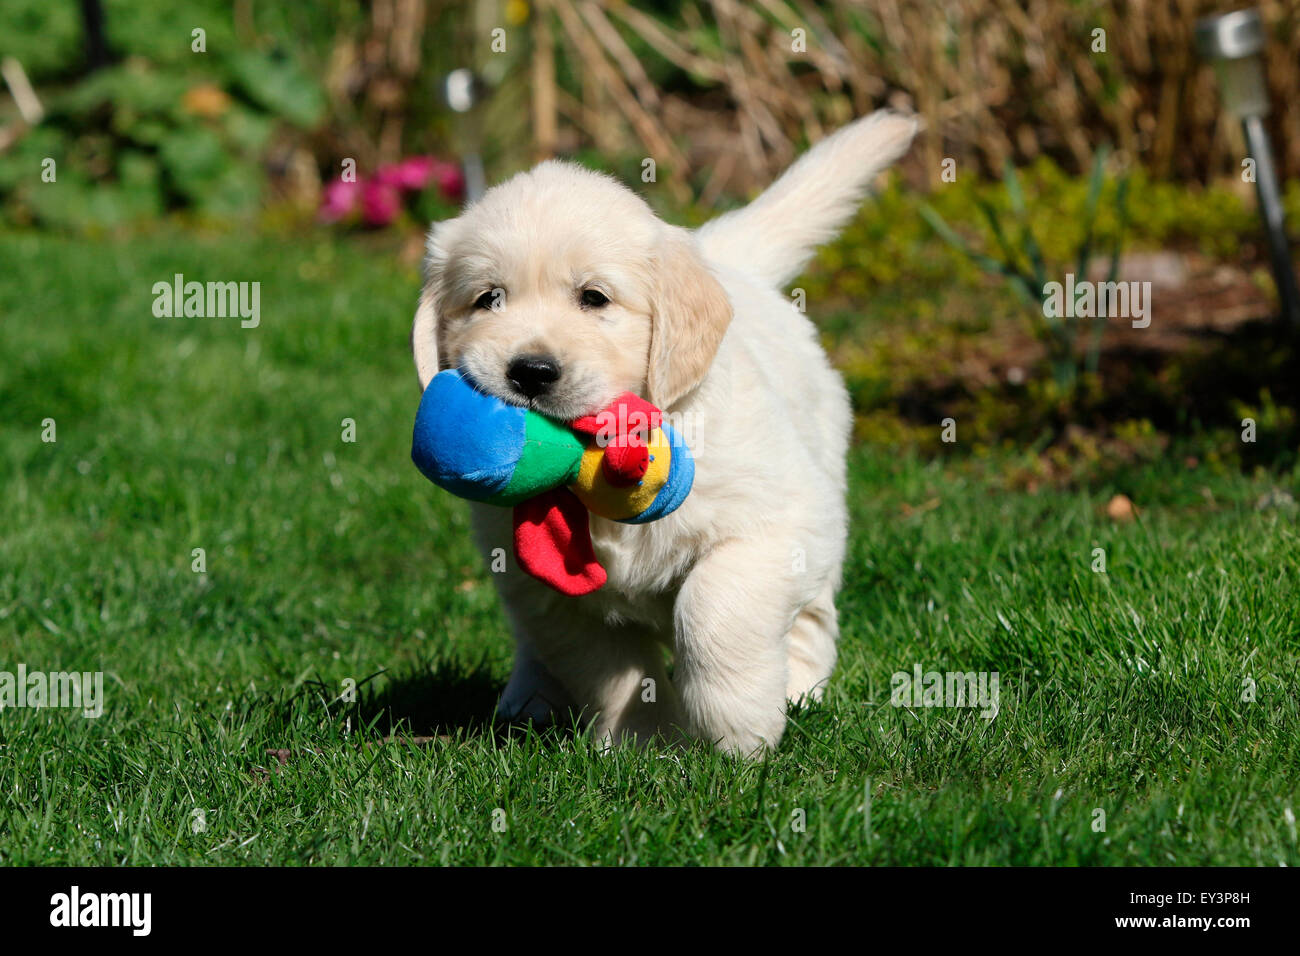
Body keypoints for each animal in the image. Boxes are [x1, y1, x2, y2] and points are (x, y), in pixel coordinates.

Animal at [413, 111, 915, 754]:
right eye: (488, 299)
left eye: (594, 298)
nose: (530, 371)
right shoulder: (549, 590)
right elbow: (609, 667)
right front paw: (643, 741)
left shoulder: (776, 521)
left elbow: (714, 606)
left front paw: (736, 728)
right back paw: (532, 696)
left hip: (824, 497)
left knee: (812, 615)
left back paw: (799, 686)